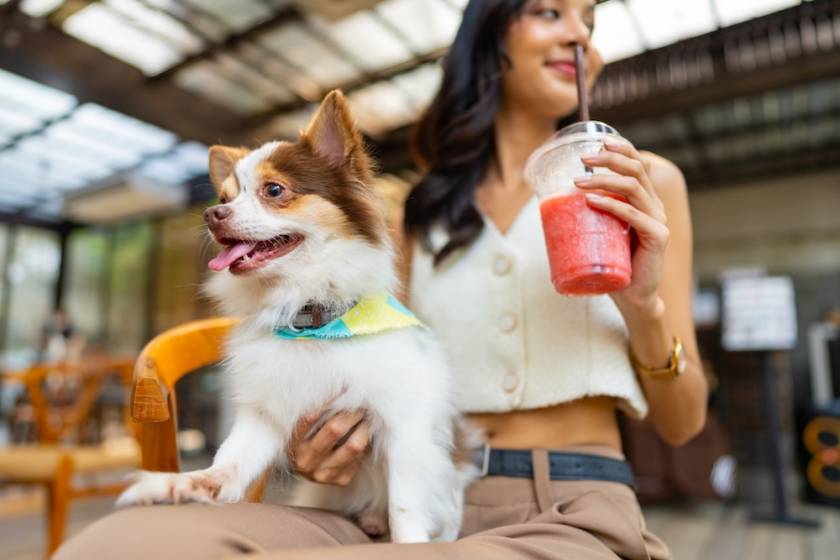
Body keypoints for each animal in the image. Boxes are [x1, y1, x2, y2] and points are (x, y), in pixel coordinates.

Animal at [115, 92, 476, 544]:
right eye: (224, 198)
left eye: (274, 190)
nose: (212, 215)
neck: (311, 319)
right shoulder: (263, 420)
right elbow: (228, 464)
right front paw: (186, 483)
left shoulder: (405, 425)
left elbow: (405, 503)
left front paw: (409, 543)